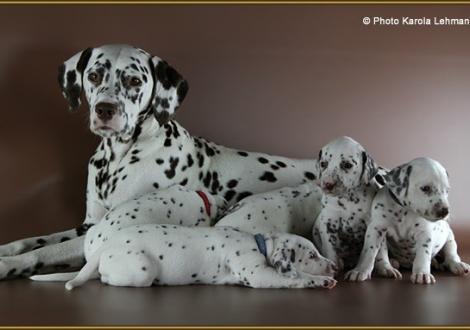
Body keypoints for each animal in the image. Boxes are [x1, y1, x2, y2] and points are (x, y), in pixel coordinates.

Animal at [0, 45, 320, 280]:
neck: (117, 158)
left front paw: (10, 265)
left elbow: (44, 252)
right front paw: (8, 249)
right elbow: (35, 241)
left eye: (134, 80)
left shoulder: (102, 230)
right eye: (93, 76)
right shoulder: (87, 224)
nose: (105, 109)